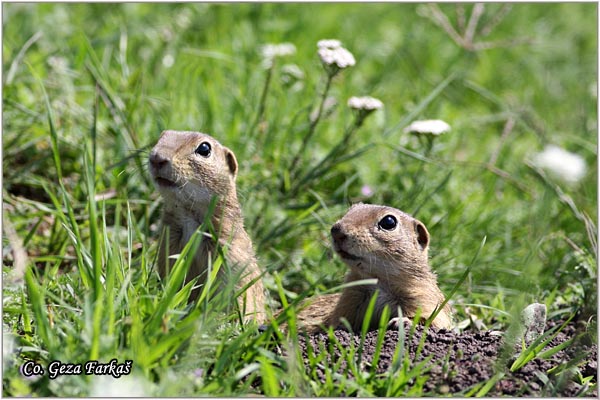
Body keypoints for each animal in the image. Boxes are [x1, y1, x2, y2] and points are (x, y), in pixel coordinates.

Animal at [148, 130, 264, 322]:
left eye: (204, 148)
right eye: (161, 136)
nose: (156, 157)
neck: (189, 215)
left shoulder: (231, 255)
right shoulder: (169, 245)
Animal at [292, 203, 452, 332]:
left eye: (389, 222)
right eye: (349, 211)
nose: (336, 230)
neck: (377, 280)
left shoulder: (423, 297)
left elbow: (432, 321)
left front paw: (402, 321)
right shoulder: (350, 298)